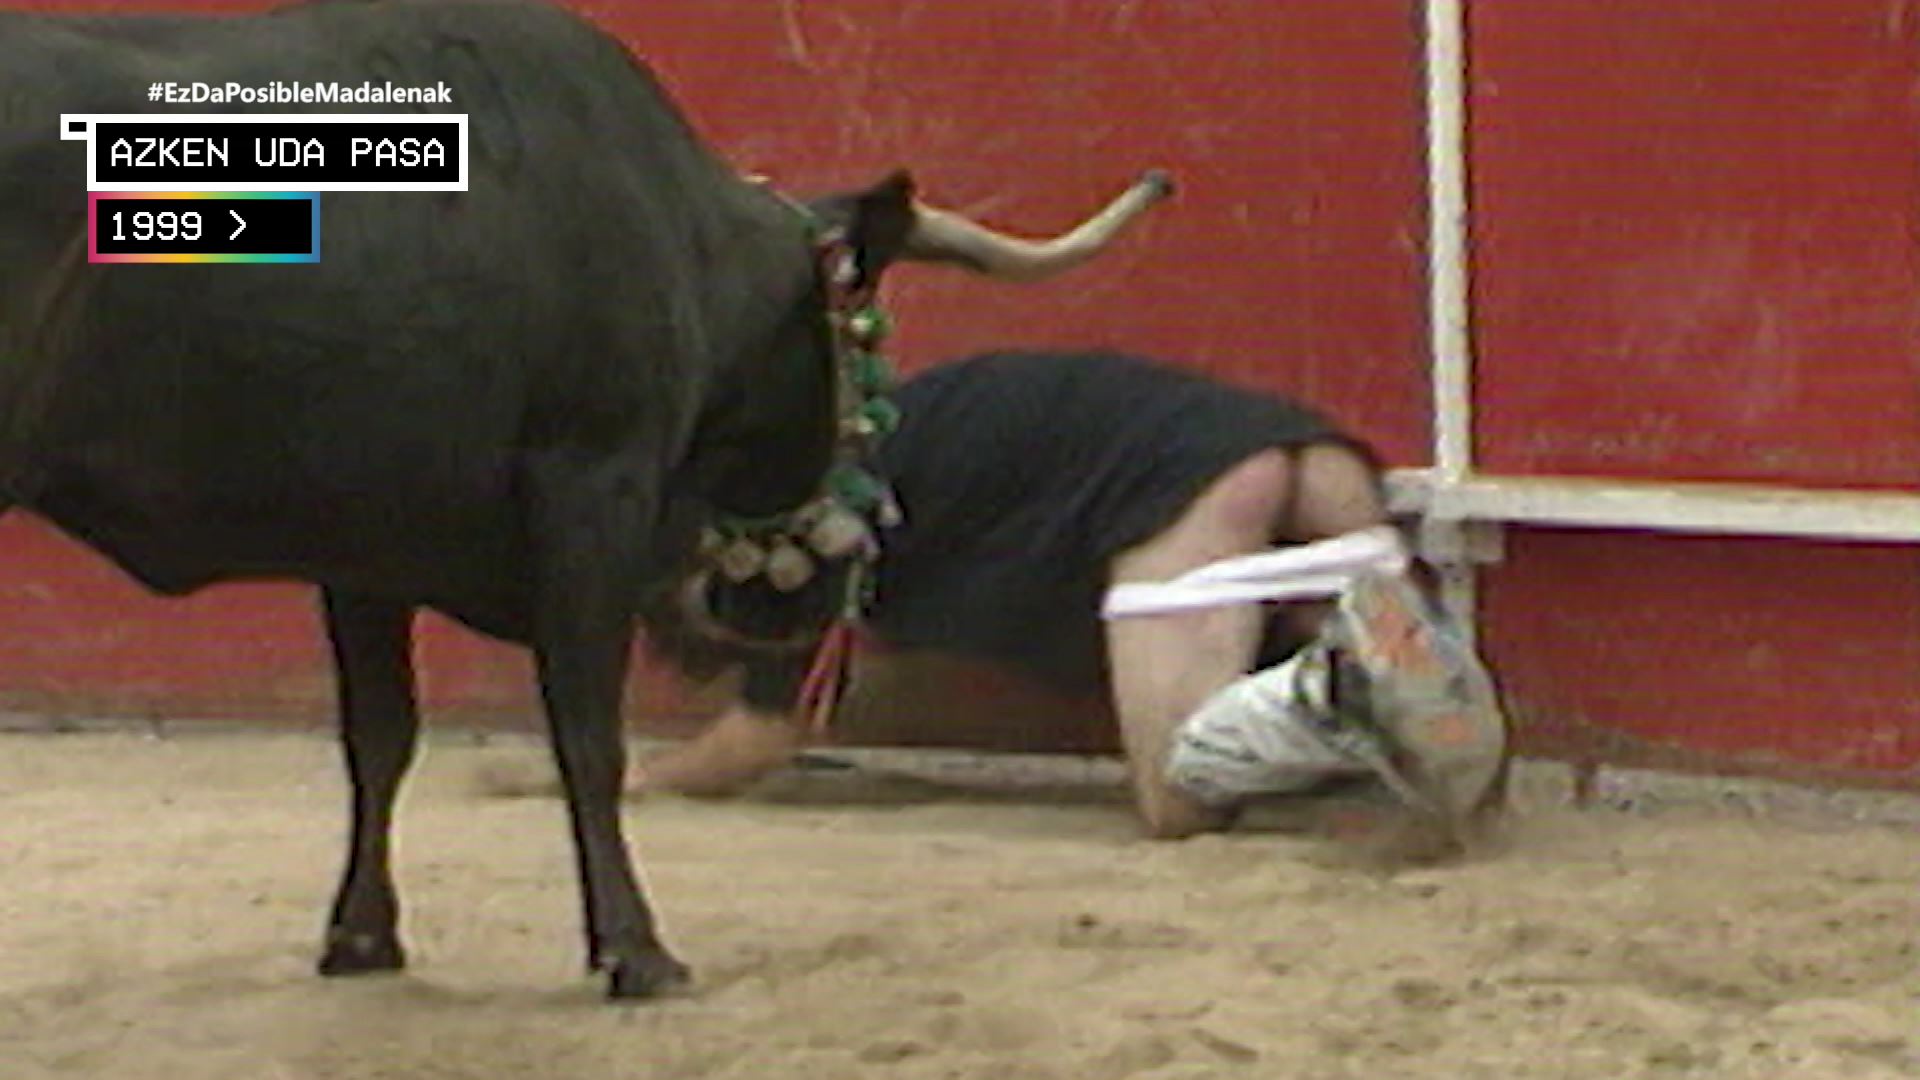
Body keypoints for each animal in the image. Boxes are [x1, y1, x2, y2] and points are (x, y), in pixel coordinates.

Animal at [0, 0, 1170, 999]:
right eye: (870, 349)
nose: (807, 598)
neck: (675, 227)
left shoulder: (367, 548)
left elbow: (380, 737)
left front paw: (363, 936)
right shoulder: (592, 490)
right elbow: (586, 733)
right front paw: (636, 950)